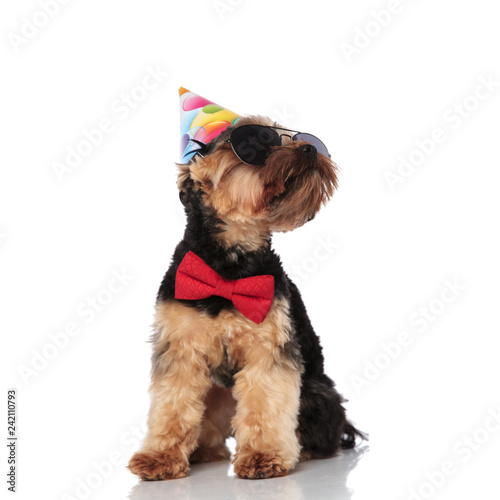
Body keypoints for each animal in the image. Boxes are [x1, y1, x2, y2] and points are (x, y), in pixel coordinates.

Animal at [129, 113, 364, 480]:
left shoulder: (268, 349)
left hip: (316, 393)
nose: (309, 149)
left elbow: (265, 402)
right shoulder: (180, 349)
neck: (229, 267)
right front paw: (160, 456)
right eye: (254, 142)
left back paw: (303, 450)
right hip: (218, 392)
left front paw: (264, 455)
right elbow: (172, 403)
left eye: (298, 138)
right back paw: (204, 450)